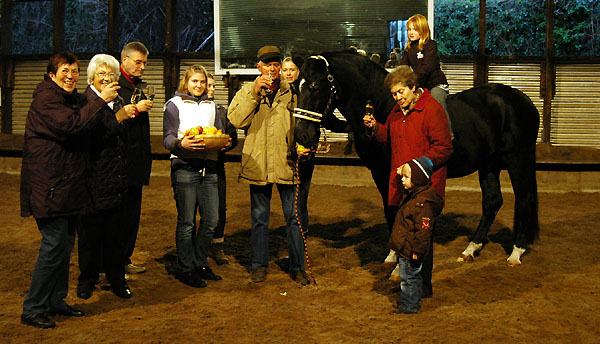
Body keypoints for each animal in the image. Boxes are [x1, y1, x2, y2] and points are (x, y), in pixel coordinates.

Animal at [292, 50, 540, 266]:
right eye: (296, 86)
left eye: (314, 85)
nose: (301, 134)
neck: (385, 106)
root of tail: (523, 99)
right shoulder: (379, 171)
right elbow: (390, 209)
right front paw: (392, 254)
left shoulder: (394, 170)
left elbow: (397, 209)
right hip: (489, 164)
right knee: (492, 201)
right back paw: (471, 249)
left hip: (517, 159)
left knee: (523, 198)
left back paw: (516, 252)